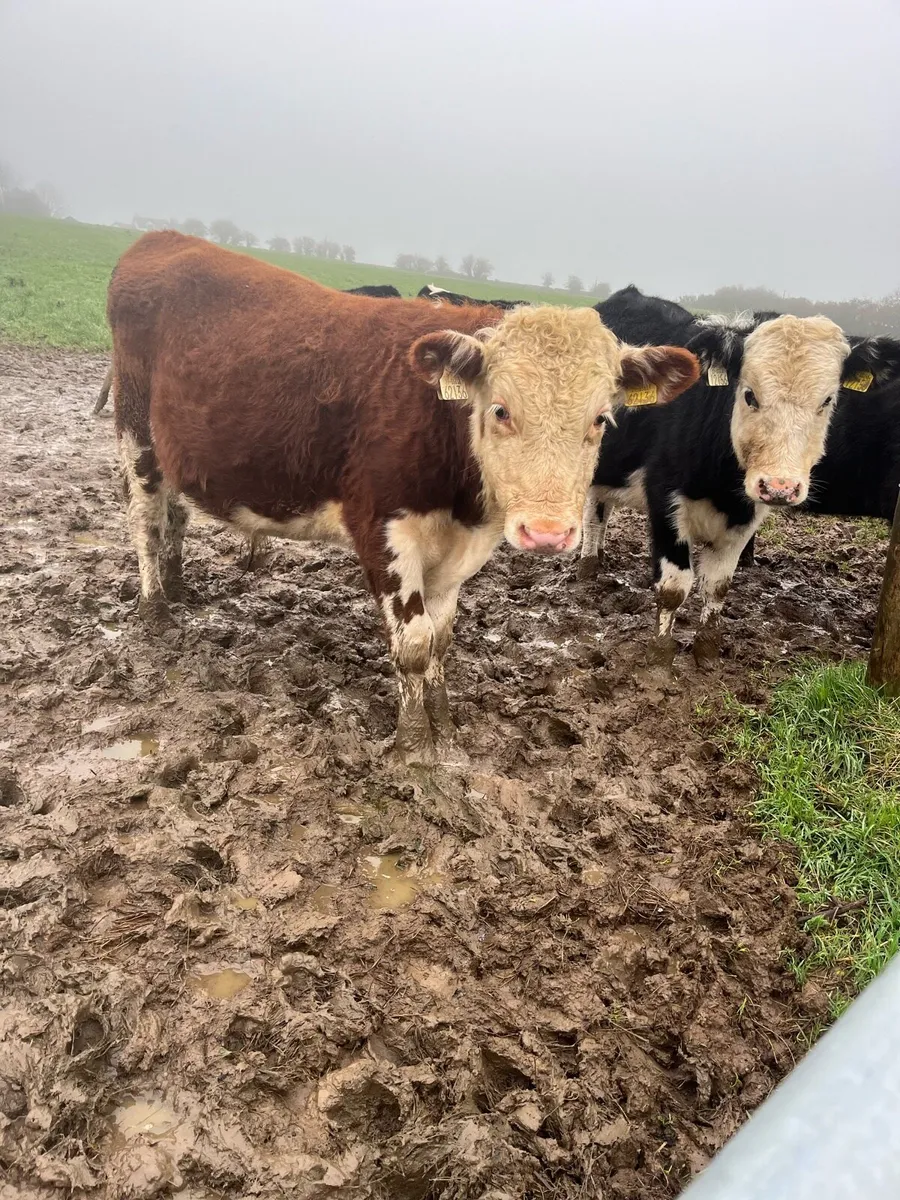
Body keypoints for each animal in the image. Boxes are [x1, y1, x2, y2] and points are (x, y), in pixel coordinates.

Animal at [107, 234, 699, 763]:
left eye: (600, 418)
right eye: (501, 409)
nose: (548, 532)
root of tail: (163, 240)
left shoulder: (458, 551)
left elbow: (440, 639)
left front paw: (446, 730)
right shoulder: (382, 533)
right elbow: (413, 644)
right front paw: (414, 750)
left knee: (174, 513)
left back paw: (178, 584)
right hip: (136, 432)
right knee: (145, 518)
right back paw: (155, 606)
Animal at [578, 286, 900, 666]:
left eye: (827, 400)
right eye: (749, 394)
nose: (780, 487)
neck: (721, 489)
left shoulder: (747, 515)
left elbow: (718, 586)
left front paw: (706, 652)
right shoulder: (664, 502)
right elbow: (674, 588)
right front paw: (660, 655)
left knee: (600, 509)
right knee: (592, 514)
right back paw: (587, 567)